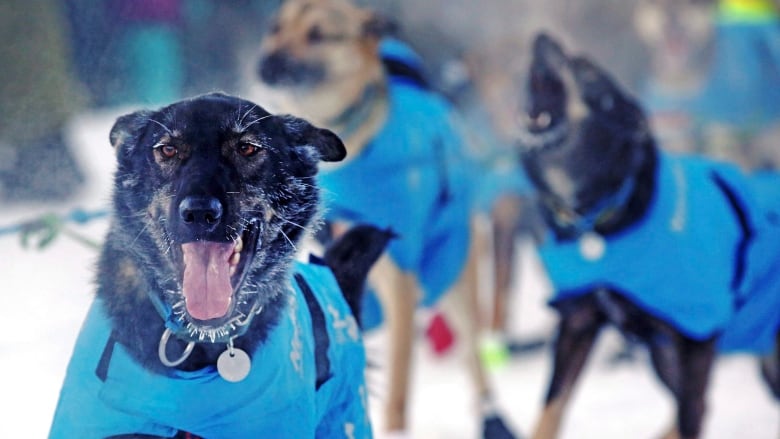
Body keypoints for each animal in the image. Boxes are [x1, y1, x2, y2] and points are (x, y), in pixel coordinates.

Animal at [251, 1, 516, 438]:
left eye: (318, 34)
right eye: (275, 28)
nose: (266, 63)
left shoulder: (399, 280)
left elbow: (397, 389)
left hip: (454, 270)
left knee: (473, 358)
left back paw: (491, 414)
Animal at [516, 33, 780, 439]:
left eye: (586, 68)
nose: (545, 36)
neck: (601, 212)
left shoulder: (695, 335)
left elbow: (690, 415)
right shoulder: (579, 321)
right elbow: (551, 407)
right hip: (662, 355)